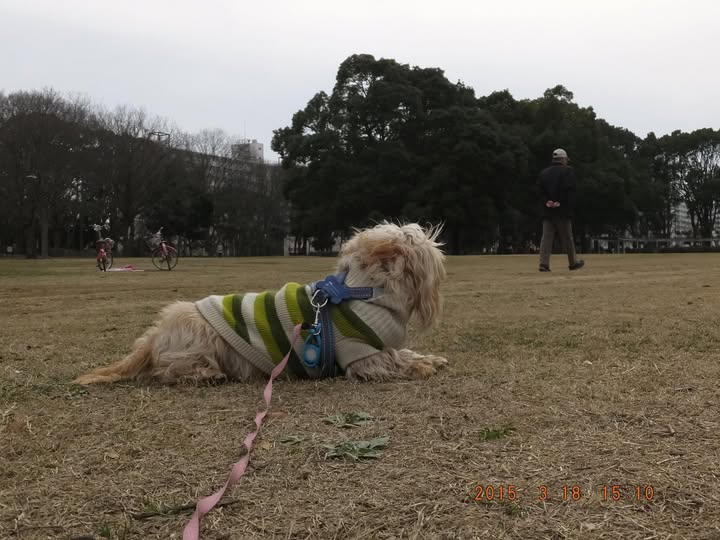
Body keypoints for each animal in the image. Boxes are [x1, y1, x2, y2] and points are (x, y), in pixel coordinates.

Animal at [74, 222, 448, 385]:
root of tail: (155, 335)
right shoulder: (362, 357)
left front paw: (430, 358)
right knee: (168, 371)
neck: (364, 291)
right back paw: (208, 374)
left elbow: (403, 351)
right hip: (201, 341)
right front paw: (421, 366)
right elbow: (394, 360)